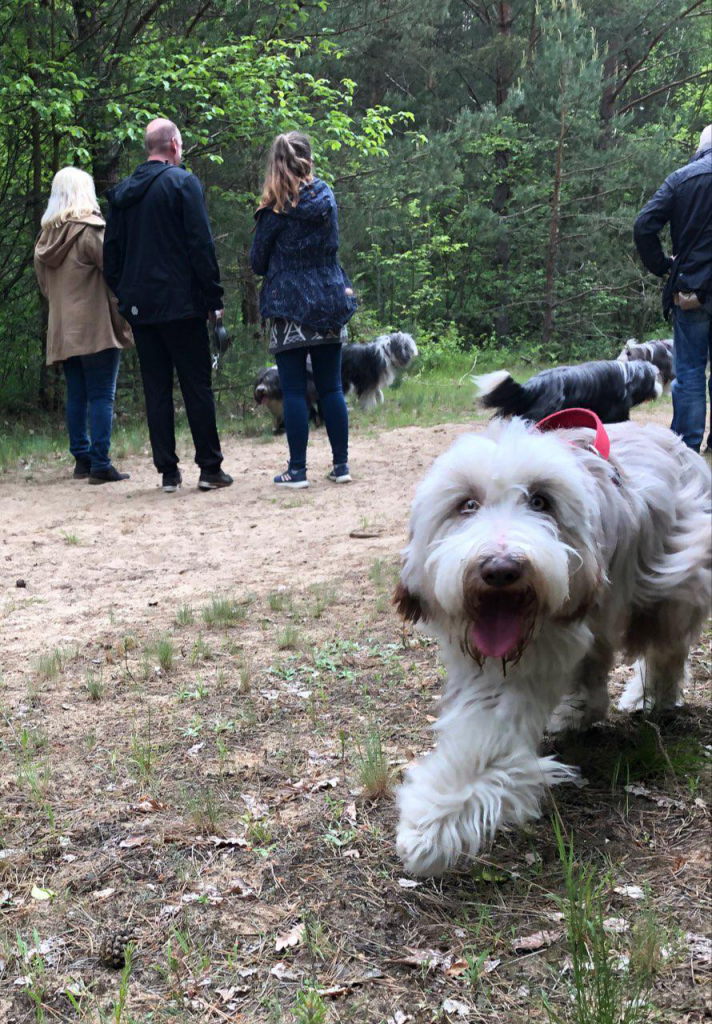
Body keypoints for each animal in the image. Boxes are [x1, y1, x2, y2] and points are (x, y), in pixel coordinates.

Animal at [395, 419, 712, 876]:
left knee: (666, 650)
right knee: (598, 668)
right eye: (466, 504)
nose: (501, 568)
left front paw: (433, 826)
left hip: (670, 585)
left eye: (541, 501)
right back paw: (580, 710)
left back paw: (651, 696)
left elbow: (489, 746)